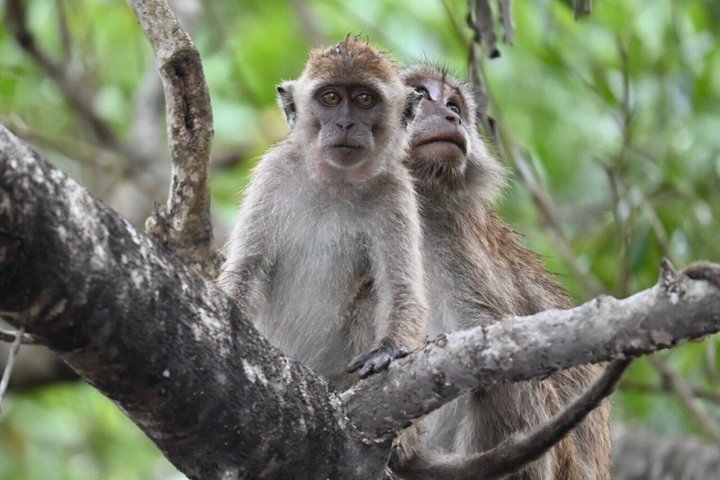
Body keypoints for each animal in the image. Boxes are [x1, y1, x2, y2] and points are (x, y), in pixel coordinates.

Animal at [217, 37, 427, 395]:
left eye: (364, 99)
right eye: (331, 98)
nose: (345, 124)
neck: (336, 184)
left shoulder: (395, 192)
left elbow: (400, 288)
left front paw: (387, 349)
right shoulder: (274, 173)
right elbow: (248, 267)